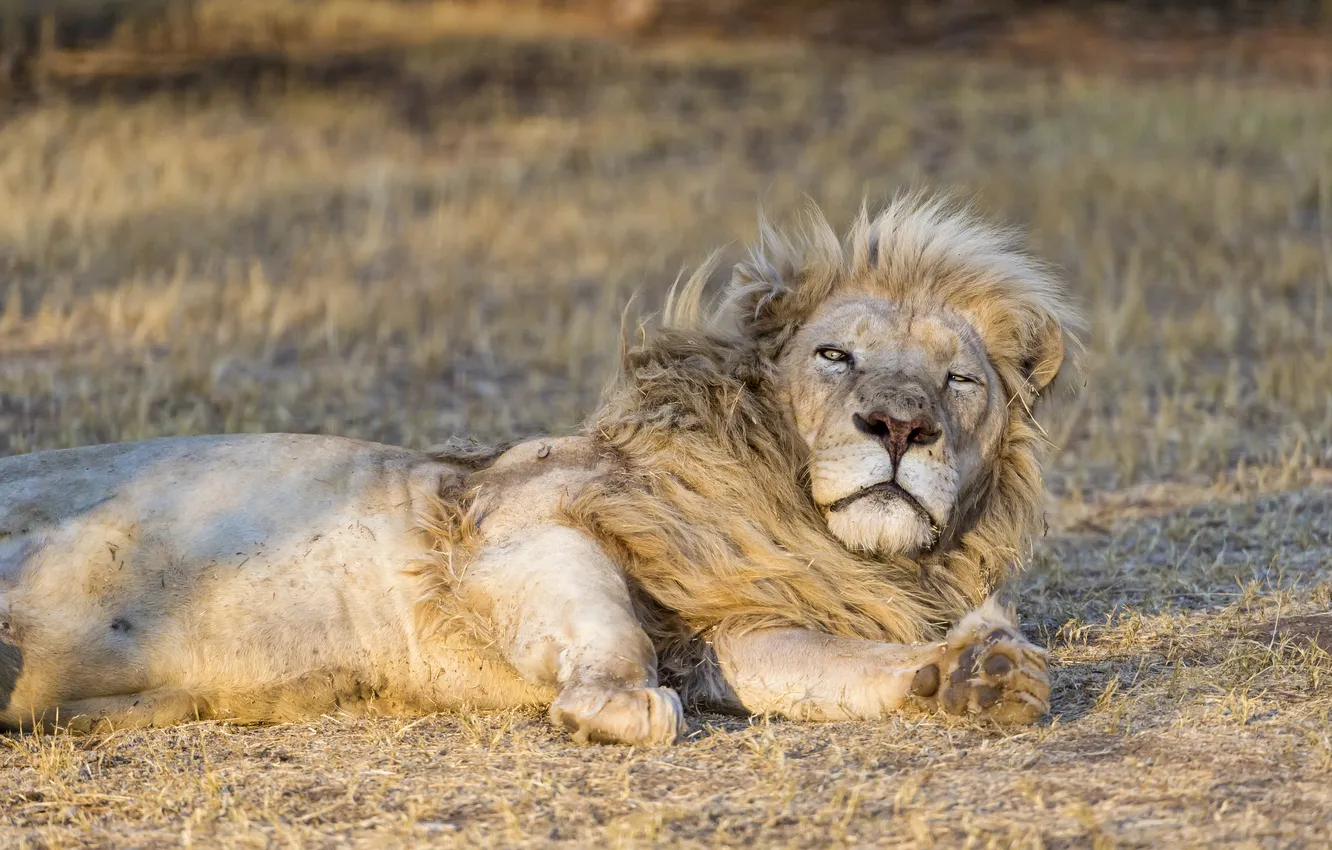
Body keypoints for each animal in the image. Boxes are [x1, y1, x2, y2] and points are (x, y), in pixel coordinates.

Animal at [0, 193, 1081, 746]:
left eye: (958, 380)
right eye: (836, 356)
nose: (900, 425)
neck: (795, 513)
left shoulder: (729, 627)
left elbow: (835, 667)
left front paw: (979, 676)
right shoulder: (512, 523)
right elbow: (615, 646)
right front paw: (613, 707)